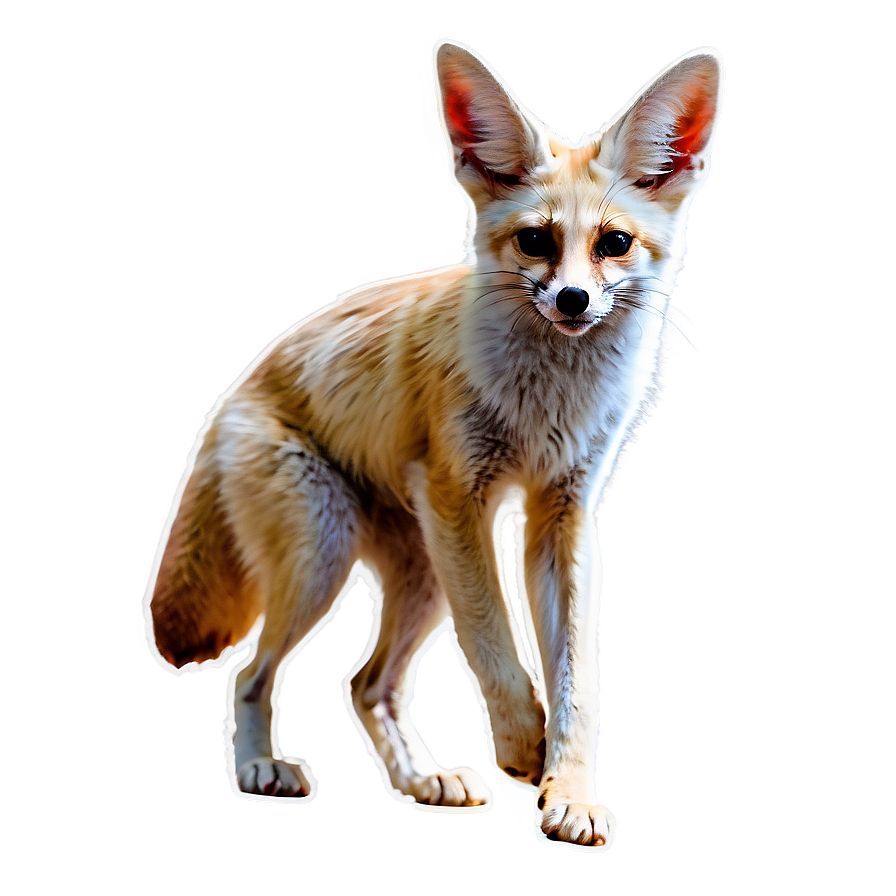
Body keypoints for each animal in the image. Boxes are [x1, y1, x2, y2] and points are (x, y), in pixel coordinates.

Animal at [149, 40, 722, 847]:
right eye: (536, 241)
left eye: (614, 244)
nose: (572, 300)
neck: (548, 403)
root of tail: (231, 394)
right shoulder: (458, 497)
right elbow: (493, 642)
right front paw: (523, 746)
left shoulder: (564, 514)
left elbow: (578, 682)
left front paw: (571, 792)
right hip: (327, 560)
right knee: (250, 675)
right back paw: (259, 767)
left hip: (418, 575)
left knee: (366, 686)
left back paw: (421, 781)